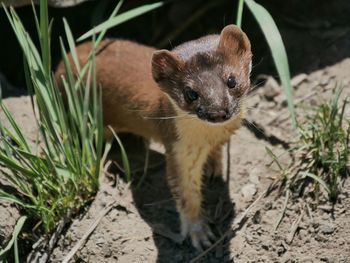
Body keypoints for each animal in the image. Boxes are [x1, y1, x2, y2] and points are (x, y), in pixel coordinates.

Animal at [54, 25, 252, 252]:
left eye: (231, 80)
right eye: (191, 93)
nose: (218, 112)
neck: (207, 138)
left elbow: (216, 154)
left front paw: (213, 167)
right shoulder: (178, 149)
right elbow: (185, 194)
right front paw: (199, 232)